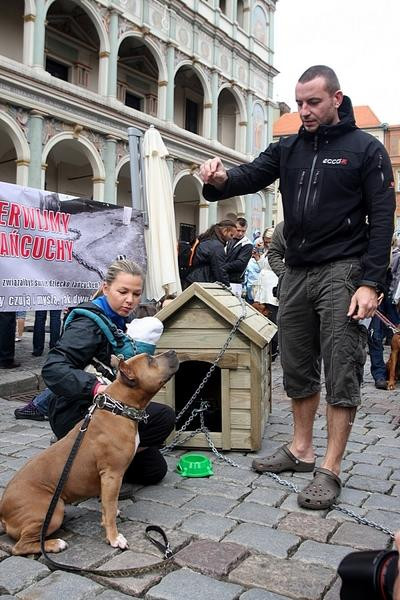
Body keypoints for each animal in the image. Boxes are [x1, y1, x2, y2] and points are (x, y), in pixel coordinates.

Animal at [0, 350, 178, 556]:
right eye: (150, 360)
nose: (173, 351)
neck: (119, 409)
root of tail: (3, 512)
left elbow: (108, 505)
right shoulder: (112, 475)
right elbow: (109, 510)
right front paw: (114, 538)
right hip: (53, 510)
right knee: (20, 546)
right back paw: (55, 544)